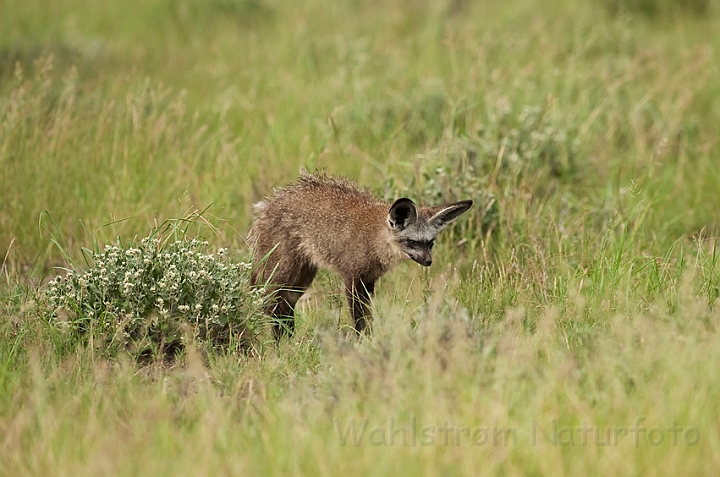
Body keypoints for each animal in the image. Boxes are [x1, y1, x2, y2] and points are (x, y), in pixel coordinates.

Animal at [249, 173, 472, 336]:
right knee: (270, 306)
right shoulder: (352, 279)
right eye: (412, 242)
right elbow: (359, 319)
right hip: (282, 274)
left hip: (300, 281)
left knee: (283, 310)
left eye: (430, 243)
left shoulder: (369, 281)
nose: (428, 261)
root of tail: (267, 206)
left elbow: (368, 316)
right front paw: (363, 342)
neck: (374, 240)